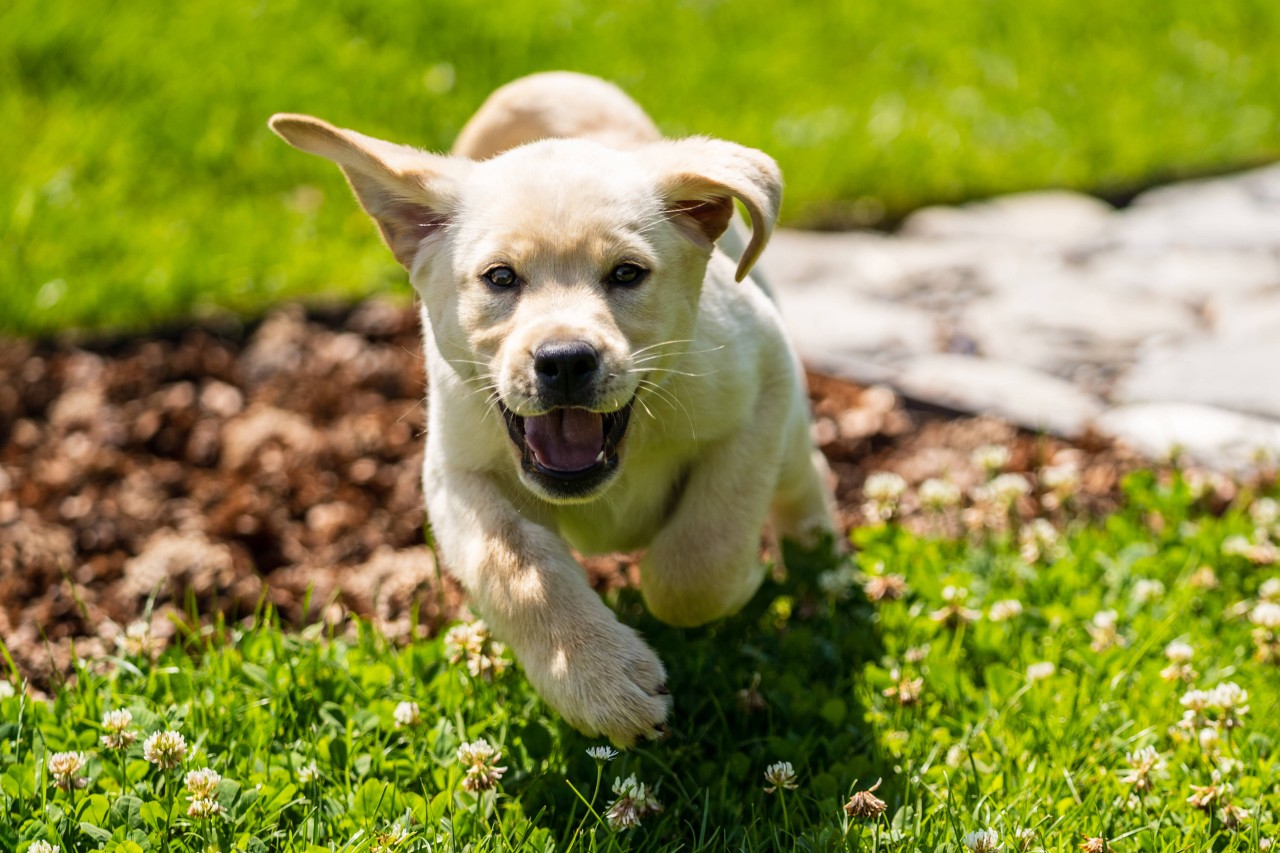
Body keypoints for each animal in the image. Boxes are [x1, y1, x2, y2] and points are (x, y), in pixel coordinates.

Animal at [266, 69, 834, 742]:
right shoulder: (457, 471)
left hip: (789, 428)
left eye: (627, 274)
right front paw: (596, 677)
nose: (564, 360)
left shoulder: (762, 382)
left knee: (802, 480)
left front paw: (740, 579)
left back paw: (823, 564)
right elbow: (516, 568)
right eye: (501, 278)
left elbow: (696, 565)